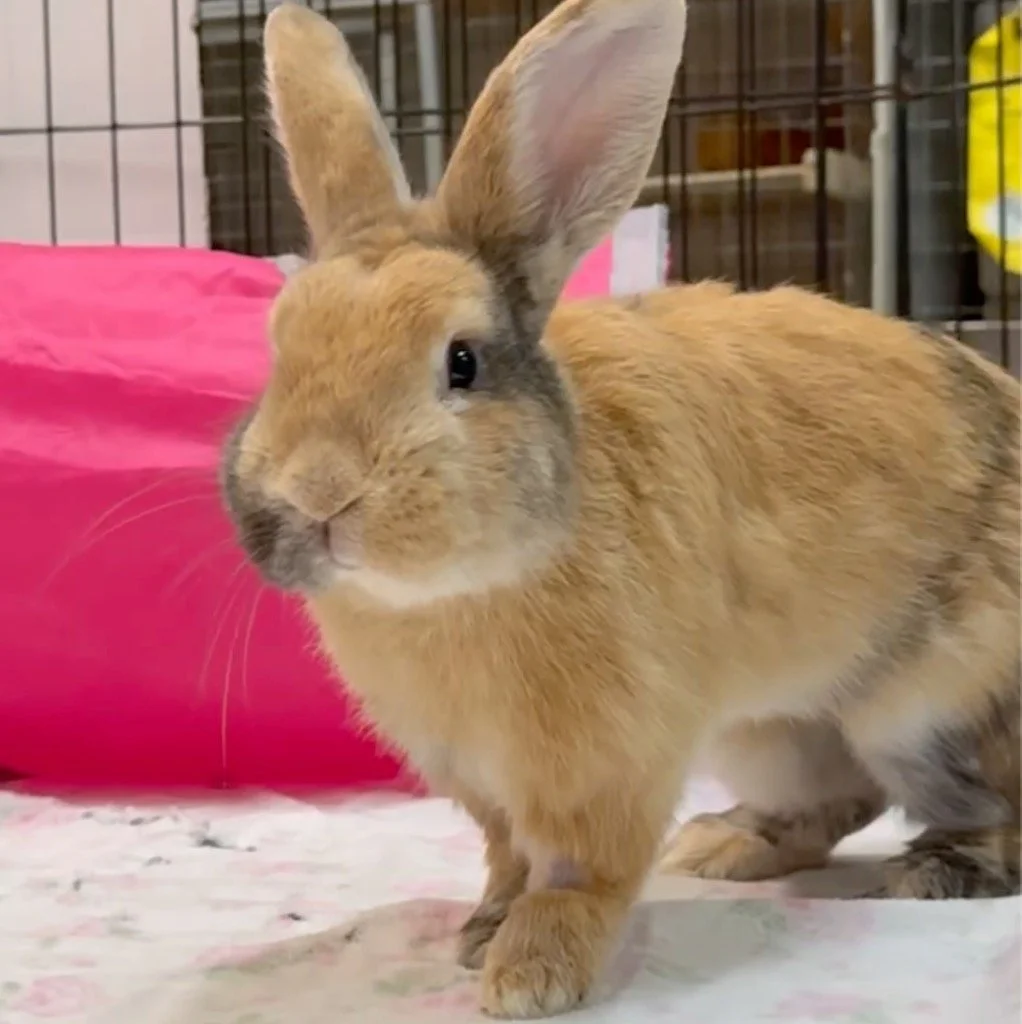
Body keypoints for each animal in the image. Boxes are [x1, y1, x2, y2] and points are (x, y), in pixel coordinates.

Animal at [219, 0, 1021, 1017]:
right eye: (278, 353)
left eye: (462, 362)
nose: (320, 495)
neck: (458, 593)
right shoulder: (486, 785)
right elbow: (507, 860)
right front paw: (479, 935)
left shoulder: (605, 765)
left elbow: (577, 878)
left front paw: (529, 976)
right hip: (771, 732)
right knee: (840, 796)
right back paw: (723, 846)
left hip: (929, 709)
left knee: (993, 815)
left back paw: (926, 873)